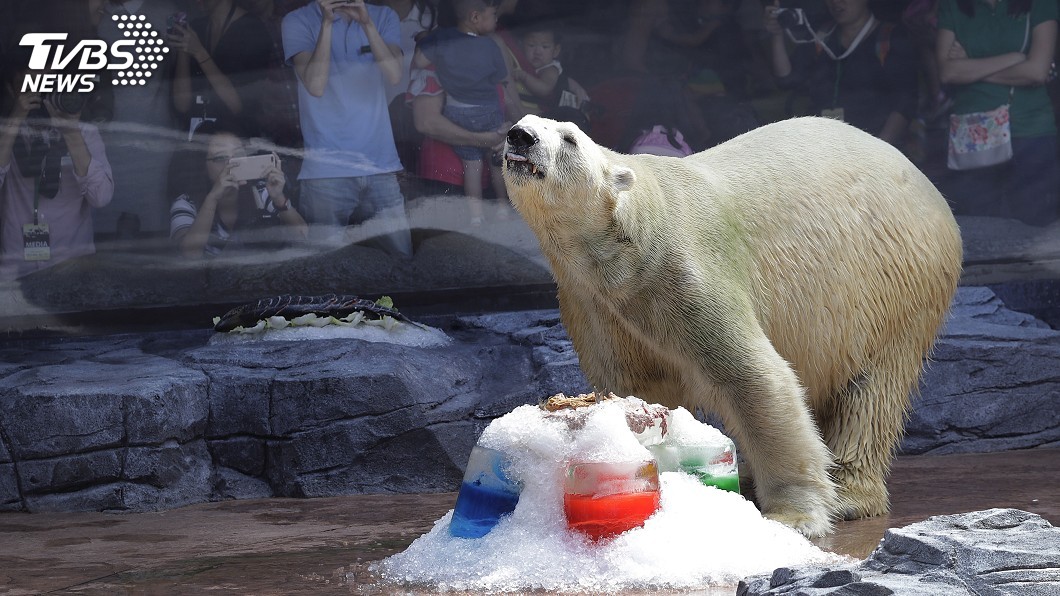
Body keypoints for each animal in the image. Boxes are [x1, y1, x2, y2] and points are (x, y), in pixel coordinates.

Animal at [502, 114, 962, 538]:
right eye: (524, 122)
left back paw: (848, 493)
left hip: (894, 283)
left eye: (569, 137)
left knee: (872, 388)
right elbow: (632, 386)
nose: (520, 136)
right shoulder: (593, 304)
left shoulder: (684, 273)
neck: (626, 247)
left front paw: (793, 516)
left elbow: (756, 377)